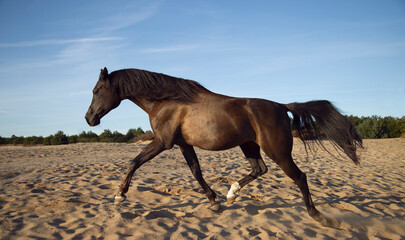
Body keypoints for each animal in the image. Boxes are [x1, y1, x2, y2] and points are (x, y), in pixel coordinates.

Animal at [85, 67, 362, 225]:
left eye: (97, 90)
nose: (89, 118)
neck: (164, 101)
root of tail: (282, 106)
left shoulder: (163, 142)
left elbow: (134, 162)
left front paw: (120, 195)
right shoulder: (183, 144)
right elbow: (196, 172)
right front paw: (214, 201)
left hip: (278, 152)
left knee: (300, 177)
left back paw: (318, 216)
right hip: (249, 146)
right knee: (260, 169)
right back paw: (232, 192)